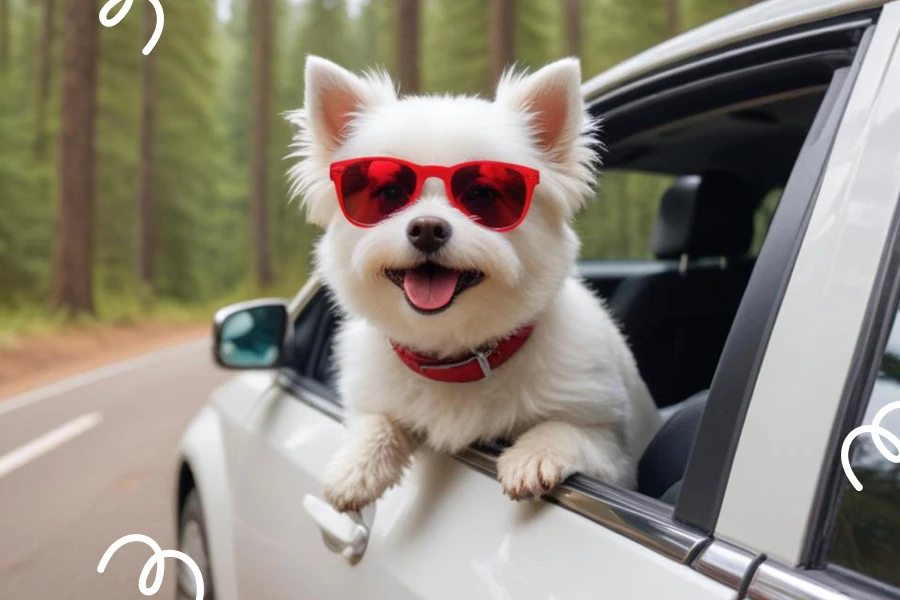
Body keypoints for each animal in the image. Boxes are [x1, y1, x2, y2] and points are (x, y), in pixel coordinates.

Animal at [288, 55, 660, 510]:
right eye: (389, 193)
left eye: (483, 194)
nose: (427, 228)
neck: (455, 356)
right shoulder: (376, 397)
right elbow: (377, 420)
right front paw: (356, 465)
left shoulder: (617, 455)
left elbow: (572, 432)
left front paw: (535, 454)